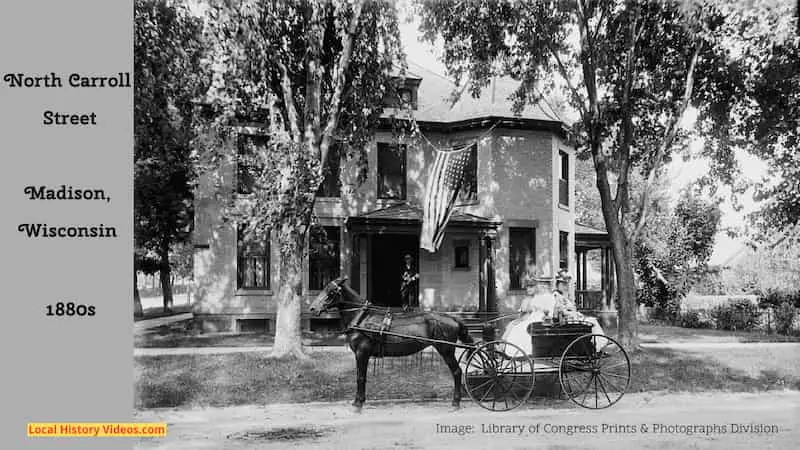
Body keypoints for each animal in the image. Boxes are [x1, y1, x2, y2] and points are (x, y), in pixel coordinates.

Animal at [308, 274, 476, 412]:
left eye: (331, 292)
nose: (312, 308)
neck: (362, 318)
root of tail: (453, 318)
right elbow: (360, 376)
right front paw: (358, 401)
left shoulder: (362, 353)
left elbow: (360, 377)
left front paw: (358, 403)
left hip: (446, 349)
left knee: (457, 372)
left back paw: (455, 402)